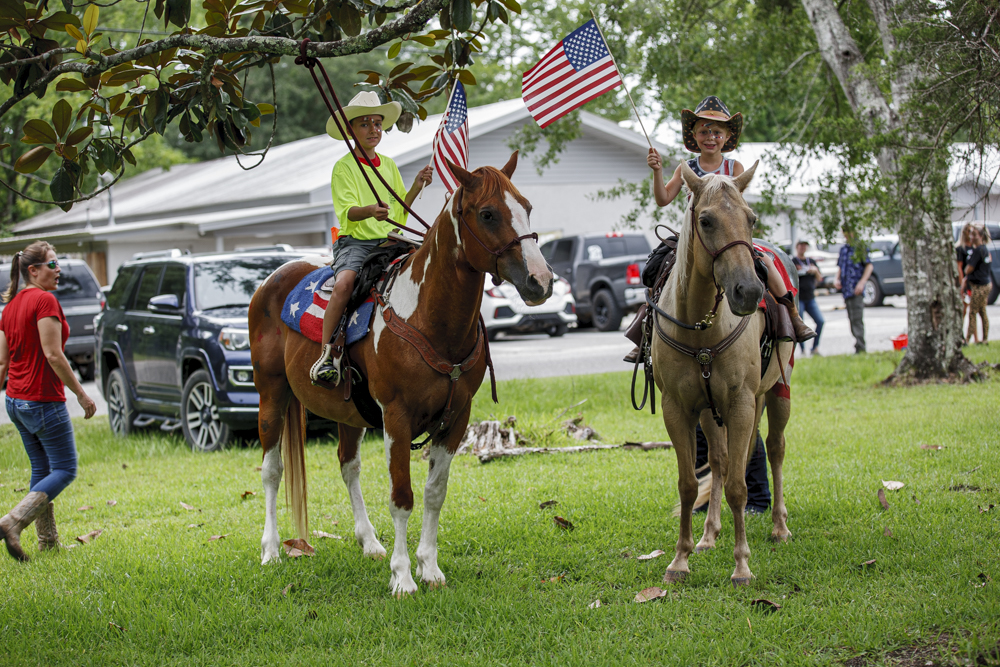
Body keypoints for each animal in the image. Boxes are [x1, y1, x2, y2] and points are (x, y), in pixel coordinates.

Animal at [248, 152, 552, 595]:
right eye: (488, 213)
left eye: (526, 206)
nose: (540, 280)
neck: (428, 316)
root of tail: (273, 279)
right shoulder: (397, 417)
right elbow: (401, 496)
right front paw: (403, 577)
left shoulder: (456, 417)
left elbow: (434, 492)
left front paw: (430, 567)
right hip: (271, 394)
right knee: (272, 471)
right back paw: (271, 550)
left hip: (348, 413)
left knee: (348, 466)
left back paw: (370, 542)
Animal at [650, 161, 794, 587]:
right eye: (706, 220)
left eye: (751, 218)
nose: (749, 290)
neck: (700, 326)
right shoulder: (678, 408)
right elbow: (688, 484)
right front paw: (680, 559)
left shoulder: (742, 403)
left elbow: (738, 487)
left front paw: (742, 566)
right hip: (711, 412)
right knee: (720, 460)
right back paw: (709, 535)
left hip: (777, 390)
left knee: (775, 448)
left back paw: (779, 526)